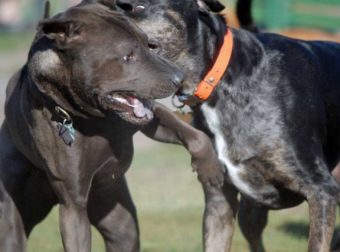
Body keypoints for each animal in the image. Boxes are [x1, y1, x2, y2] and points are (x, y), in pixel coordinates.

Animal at [0, 2, 223, 251]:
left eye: (149, 45)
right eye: (128, 56)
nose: (179, 78)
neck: (93, 118)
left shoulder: (148, 120)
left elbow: (196, 136)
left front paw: (210, 169)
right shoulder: (73, 205)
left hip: (117, 214)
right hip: (14, 215)